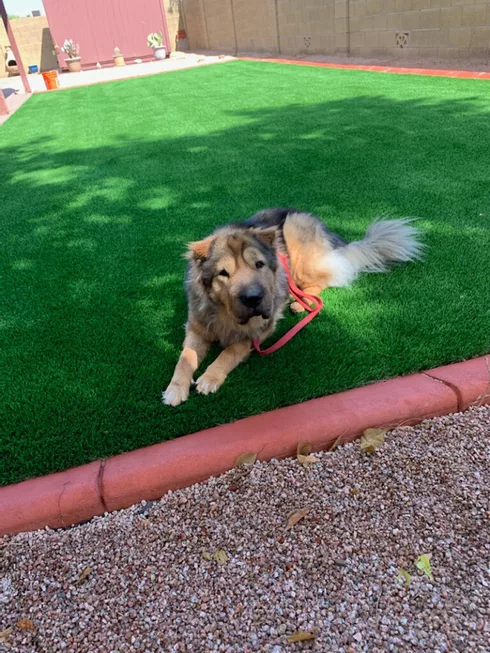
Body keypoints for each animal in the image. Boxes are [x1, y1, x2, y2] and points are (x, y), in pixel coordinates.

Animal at [163, 206, 424, 404]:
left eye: (259, 264)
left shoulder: (261, 328)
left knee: (326, 277)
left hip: (298, 244)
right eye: (223, 273)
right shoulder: (197, 326)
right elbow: (185, 357)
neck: (225, 314)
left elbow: (232, 350)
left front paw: (210, 377)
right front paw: (175, 388)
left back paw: (302, 302)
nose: (254, 298)